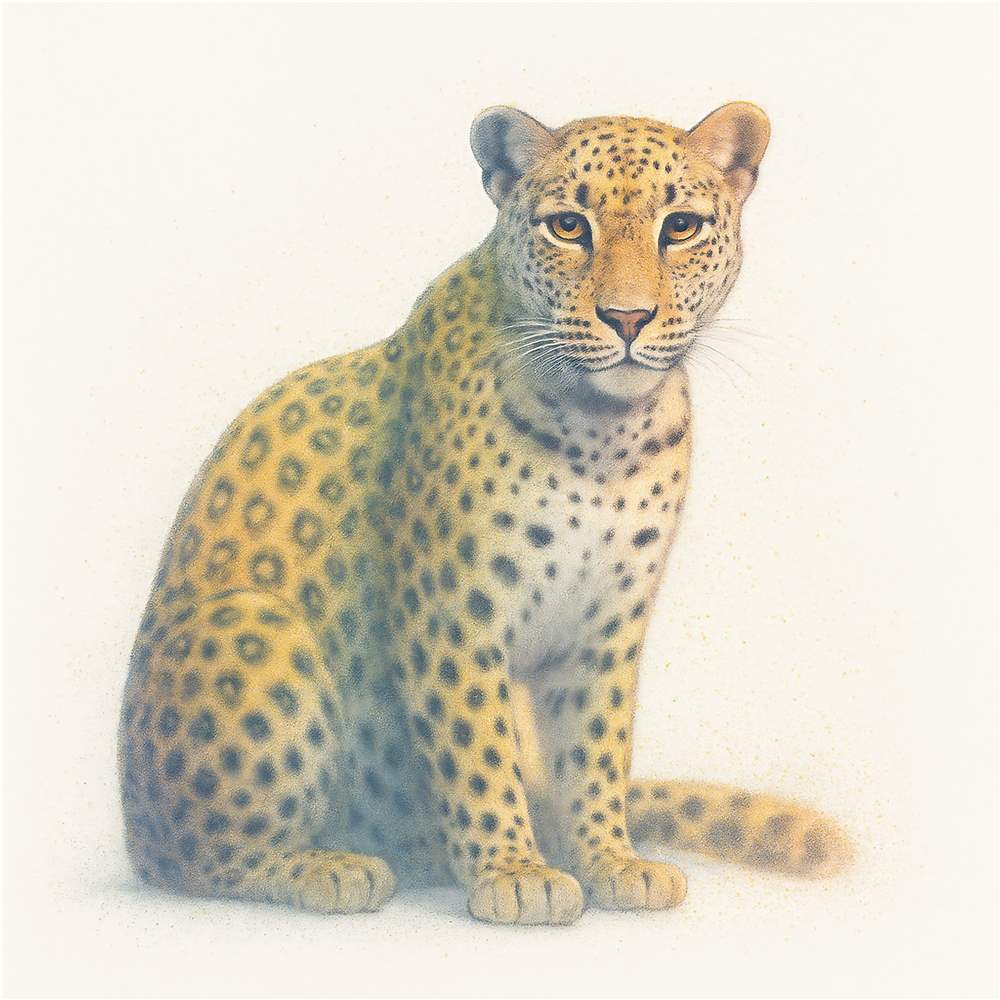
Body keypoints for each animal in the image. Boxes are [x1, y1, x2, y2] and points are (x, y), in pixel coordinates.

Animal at [118, 102, 851, 925]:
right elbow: (477, 747)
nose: (627, 317)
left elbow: (596, 746)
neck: (604, 433)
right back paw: (332, 867)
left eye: (681, 227)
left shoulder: (607, 624)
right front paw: (514, 872)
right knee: (195, 860)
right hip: (250, 625)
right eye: (568, 226)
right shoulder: (451, 614)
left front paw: (610, 860)